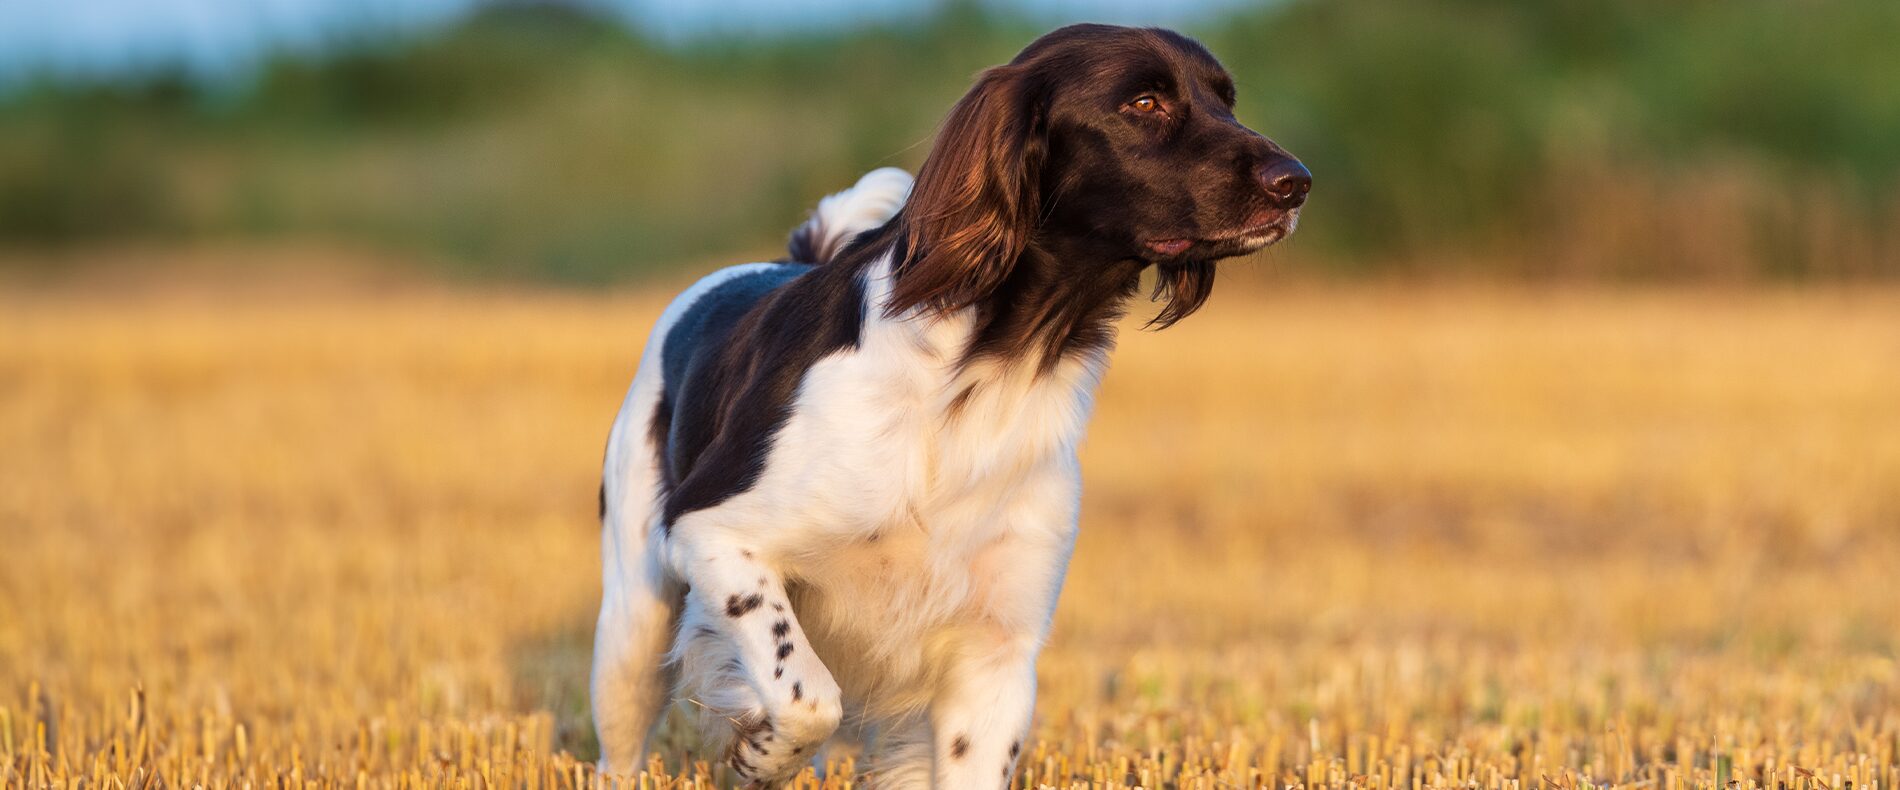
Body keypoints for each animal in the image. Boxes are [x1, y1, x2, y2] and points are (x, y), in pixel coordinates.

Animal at [589, 21, 1307, 786]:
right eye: (1144, 103)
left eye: (1227, 100)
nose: (1297, 181)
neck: (986, 371)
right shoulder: (714, 530)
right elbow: (807, 696)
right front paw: (759, 753)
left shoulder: (997, 648)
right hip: (631, 627)